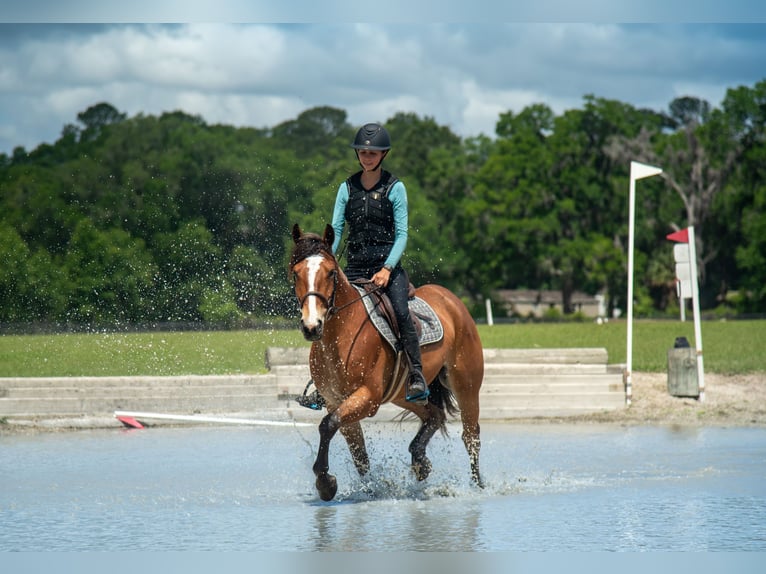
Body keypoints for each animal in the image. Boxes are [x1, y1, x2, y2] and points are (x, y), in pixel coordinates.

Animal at [289, 223, 484, 501]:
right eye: (296, 274)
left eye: (330, 273)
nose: (311, 326)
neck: (340, 334)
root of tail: (450, 298)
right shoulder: (335, 400)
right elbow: (357, 452)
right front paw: (365, 488)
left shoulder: (367, 398)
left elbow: (328, 425)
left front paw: (325, 482)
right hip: (404, 393)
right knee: (435, 415)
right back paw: (420, 461)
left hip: (466, 385)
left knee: (471, 436)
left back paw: (477, 486)